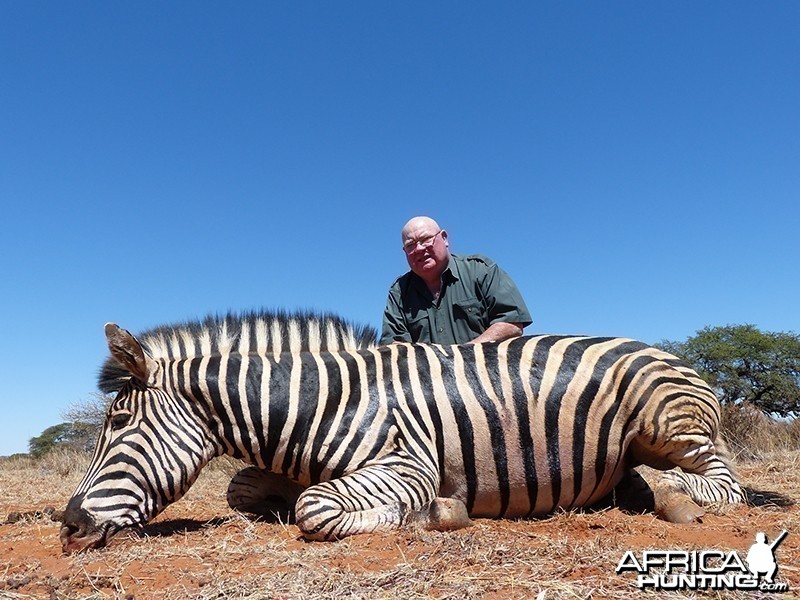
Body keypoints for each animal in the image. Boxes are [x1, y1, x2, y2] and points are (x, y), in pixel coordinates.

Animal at [61, 312, 744, 552]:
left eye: (118, 424)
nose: (67, 526)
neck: (324, 403)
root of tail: (673, 354)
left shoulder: (407, 464)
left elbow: (314, 509)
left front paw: (441, 513)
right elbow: (246, 491)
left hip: (667, 424)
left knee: (722, 482)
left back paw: (670, 497)